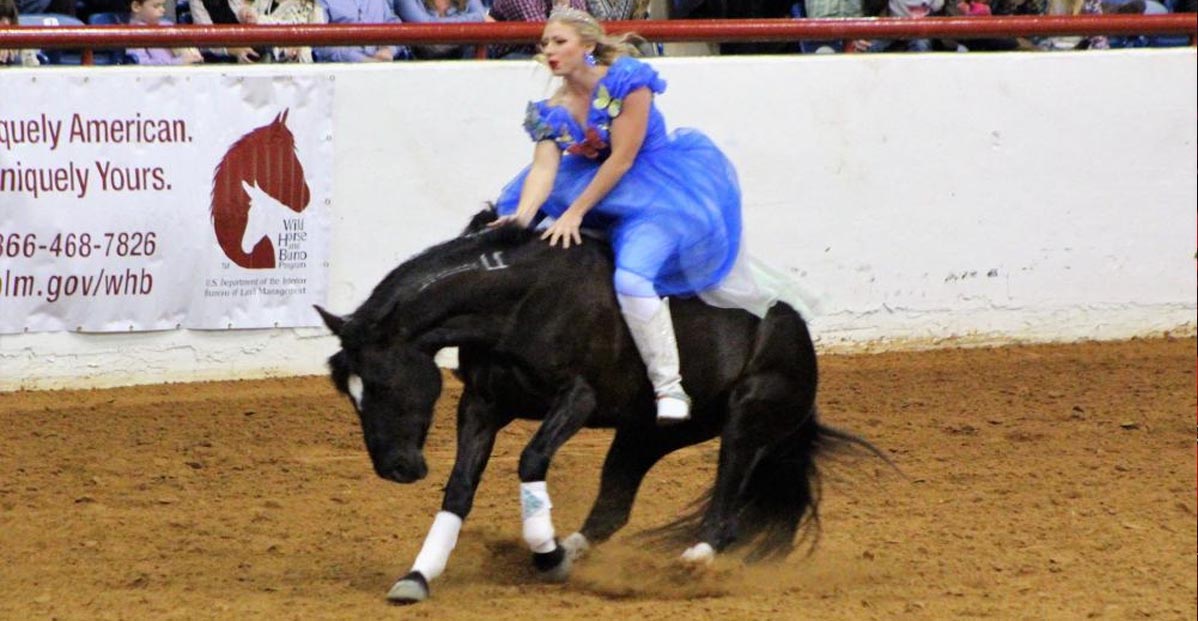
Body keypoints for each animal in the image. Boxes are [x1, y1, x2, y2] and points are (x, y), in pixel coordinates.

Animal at [313, 212, 867, 606]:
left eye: (383, 384)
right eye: (350, 393)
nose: (395, 468)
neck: (521, 301)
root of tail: (795, 327)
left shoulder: (576, 400)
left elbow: (531, 460)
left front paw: (544, 550)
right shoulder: (483, 404)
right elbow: (460, 488)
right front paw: (419, 575)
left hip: (746, 421)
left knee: (726, 505)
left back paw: (690, 560)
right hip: (646, 434)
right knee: (613, 507)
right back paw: (570, 555)